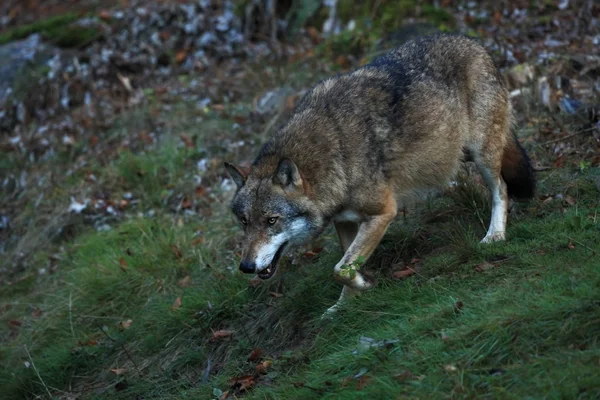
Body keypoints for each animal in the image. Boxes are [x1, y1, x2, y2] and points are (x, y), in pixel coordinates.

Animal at [225, 33, 536, 316]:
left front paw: (364, 286)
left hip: (481, 153)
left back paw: (495, 235)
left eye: (271, 221)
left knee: (501, 188)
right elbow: (346, 266)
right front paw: (344, 305)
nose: (246, 267)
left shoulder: (383, 213)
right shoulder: (345, 221)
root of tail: (475, 43)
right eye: (244, 222)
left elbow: (340, 269)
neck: (332, 157)